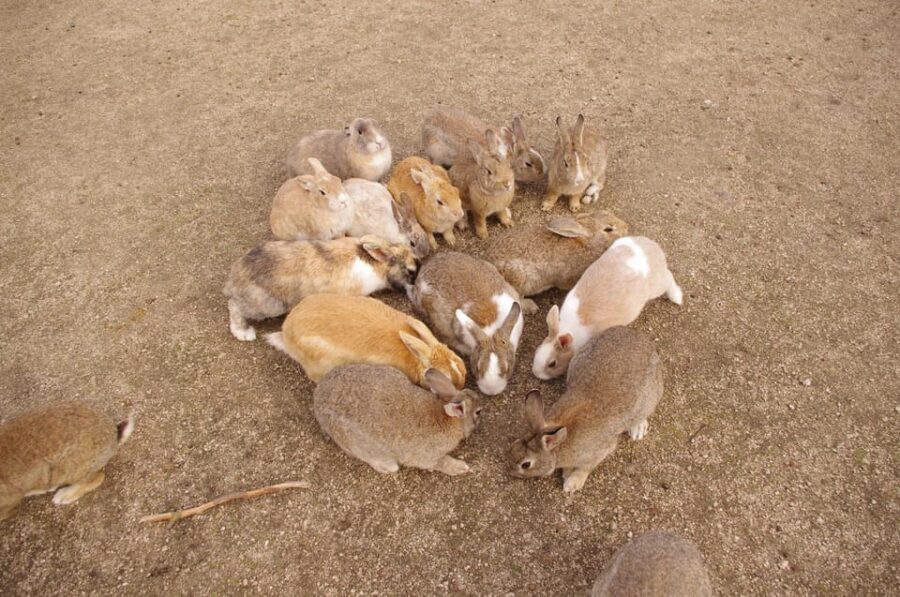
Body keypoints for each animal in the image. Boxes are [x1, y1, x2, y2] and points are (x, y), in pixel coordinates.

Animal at [224, 235, 417, 341]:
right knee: (234, 307)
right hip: (267, 306)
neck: (375, 264)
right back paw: (244, 333)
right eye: (410, 270)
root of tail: (234, 279)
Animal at [313, 364, 482, 475]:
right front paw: (461, 468)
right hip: (358, 445)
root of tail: (317, 399)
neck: (449, 420)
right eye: (478, 412)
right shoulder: (429, 458)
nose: (482, 410)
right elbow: (441, 463)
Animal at [511, 326, 663, 492]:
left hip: (650, 398)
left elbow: (586, 468)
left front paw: (572, 484)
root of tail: (643, 340)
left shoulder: (600, 450)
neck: (559, 447)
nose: (510, 470)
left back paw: (638, 429)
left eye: (526, 464)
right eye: (515, 444)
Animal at [532, 236, 682, 380]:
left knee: (669, 278)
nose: (536, 373)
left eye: (552, 364)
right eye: (537, 350)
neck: (570, 330)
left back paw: (677, 297)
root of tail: (655, 248)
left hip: (657, 286)